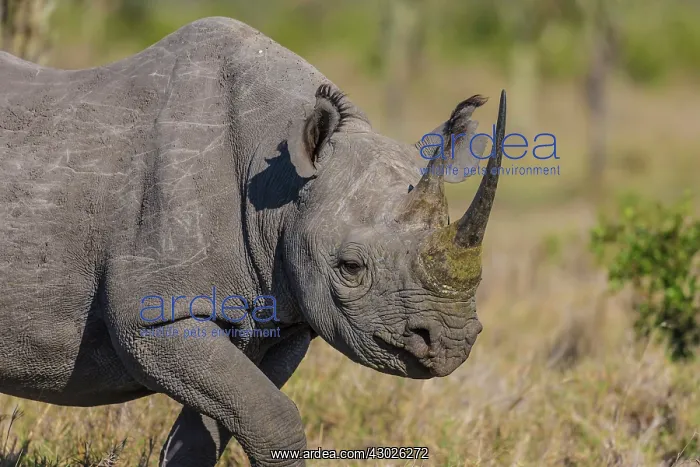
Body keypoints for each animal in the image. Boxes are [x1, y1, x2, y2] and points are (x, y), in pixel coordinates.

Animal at [0, 16, 506, 467]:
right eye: (351, 268)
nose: (451, 342)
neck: (283, 183)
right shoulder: (152, 320)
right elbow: (272, 419)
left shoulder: (283, 318)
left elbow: (214, 431)